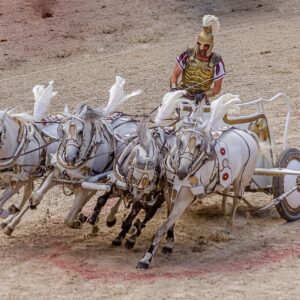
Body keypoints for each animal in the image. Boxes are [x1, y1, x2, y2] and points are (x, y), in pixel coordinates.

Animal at [137, 94, 258, 270]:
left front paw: (146, 258)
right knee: (226, 192)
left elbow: (162, 227)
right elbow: (169, 221)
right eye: (180, 141)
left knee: (236, 201)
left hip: (241, 180)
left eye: (199, 145)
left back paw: (228, 228)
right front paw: (169, 243)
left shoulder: (184, 198)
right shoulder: (169, 193)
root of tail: (247, 133)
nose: (182, 171)